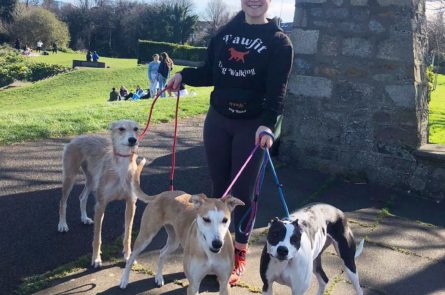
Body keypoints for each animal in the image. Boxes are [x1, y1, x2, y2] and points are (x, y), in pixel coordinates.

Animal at [58, 118, 140, 268]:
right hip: (70, 176)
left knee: (82, 197)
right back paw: (62, 224)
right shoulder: (100, 205)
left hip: (91, 179)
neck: (121, 166)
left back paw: (84, 218)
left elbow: (128, 234)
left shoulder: (131, 203)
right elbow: (97, 237)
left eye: (136, 129)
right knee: (63, 202)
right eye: (121, 129)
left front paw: (127, 256)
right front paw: (96, 259)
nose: (132, 140)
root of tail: (78, 137)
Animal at [119, 161, 245, 294]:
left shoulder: (224, 284)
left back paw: (158, 277)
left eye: (225, 220)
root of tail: (160, 194)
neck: (209, 252)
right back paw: (124, 280)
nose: (217, 244)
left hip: (174, 241)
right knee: (131, 257)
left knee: (162, 252)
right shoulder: (193, 285)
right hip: (145, 236)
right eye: (206, 219)